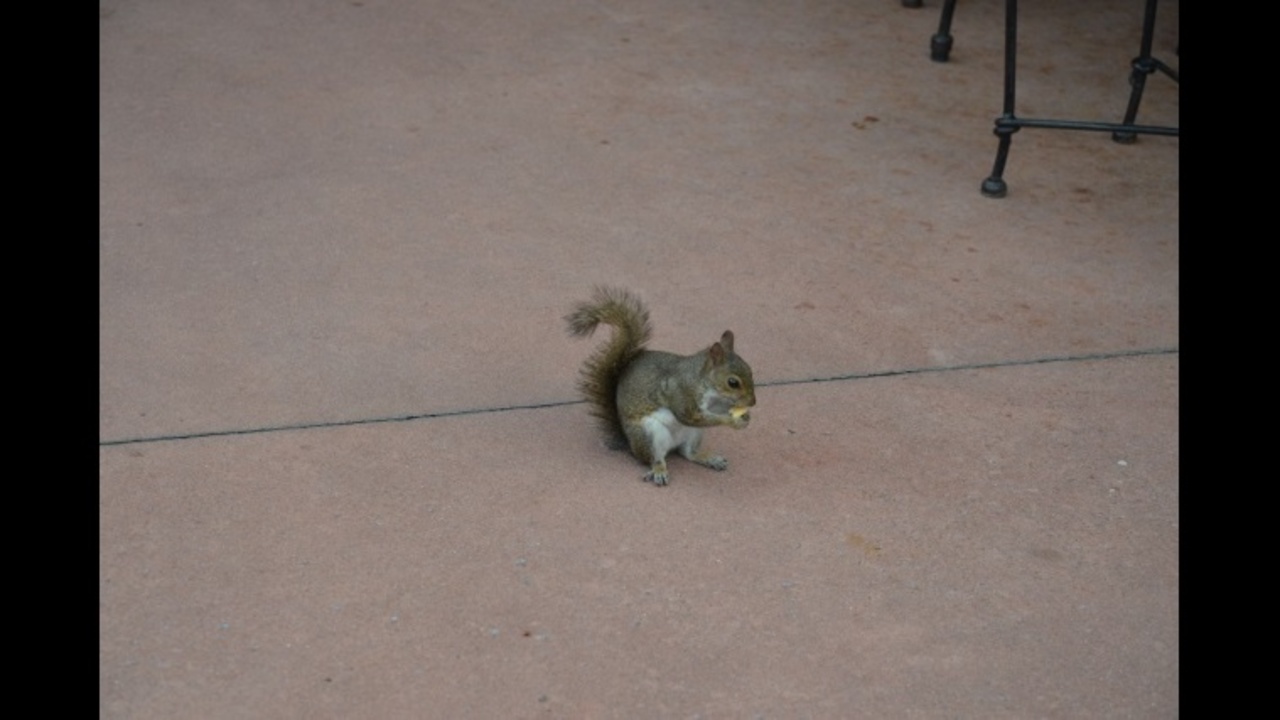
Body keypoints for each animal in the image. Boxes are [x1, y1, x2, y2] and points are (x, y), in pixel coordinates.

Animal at [564, 286, 756, 486]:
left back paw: (709, 458)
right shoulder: (681, 393)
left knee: (688, 453)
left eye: (750, 371)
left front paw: (744, 416)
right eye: (732, 382)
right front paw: (733, 421)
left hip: (694, 434)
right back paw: (659, 470)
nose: (753, 402)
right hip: (649, 434)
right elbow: (691, 415)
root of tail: (629, 443)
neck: (705, 384)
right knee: (654, 458)